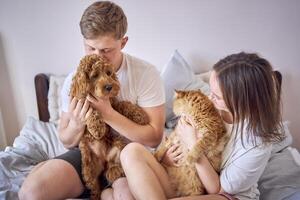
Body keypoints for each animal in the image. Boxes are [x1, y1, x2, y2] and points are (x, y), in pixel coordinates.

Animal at [70, 54, 150, 199]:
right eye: (94, 75)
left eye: (108, 73)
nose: (109, 87)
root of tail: (104, 162)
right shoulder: (83, 101)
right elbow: (92, 110)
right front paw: (97, 128)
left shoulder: (112, 104)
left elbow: (123, 104)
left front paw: (139, 114)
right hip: (88, 170)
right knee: (95, 187)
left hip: (118, 145)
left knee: (116, 166)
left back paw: (115, 170)